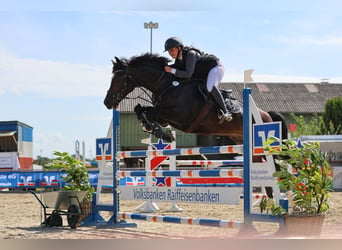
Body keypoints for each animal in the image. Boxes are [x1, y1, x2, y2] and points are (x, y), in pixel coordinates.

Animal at [103, 53, 288, 146]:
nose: (107, 102)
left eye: (118, 78)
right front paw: (158, 131)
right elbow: (141, 109)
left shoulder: (180, 117)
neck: (168, 84)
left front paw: (160, 132)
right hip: (240, 138)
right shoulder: (166, 116)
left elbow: (150, 112)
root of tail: (266, 115)